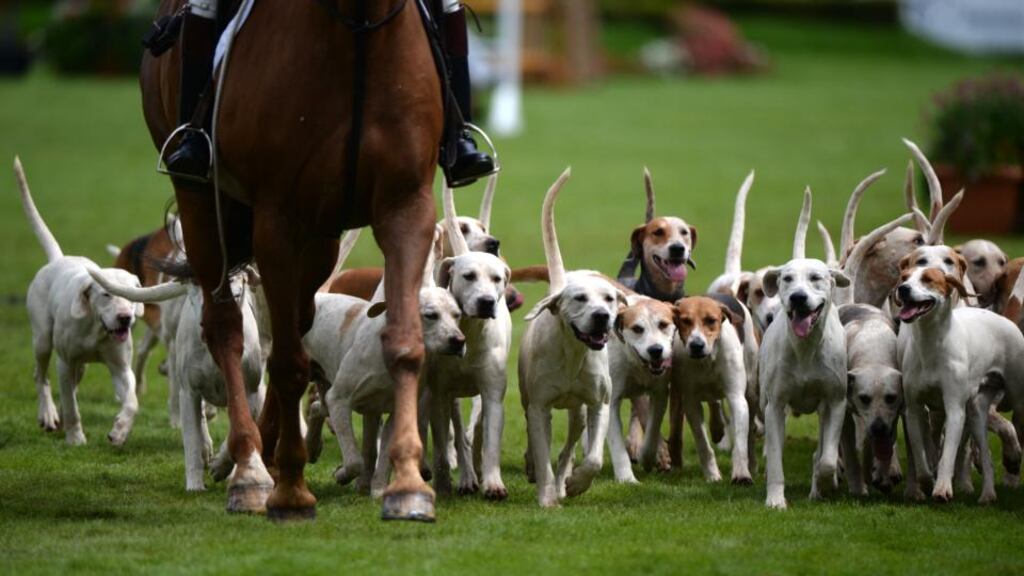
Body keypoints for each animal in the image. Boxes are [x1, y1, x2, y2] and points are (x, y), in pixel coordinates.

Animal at [140, 0, 442, 521]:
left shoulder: (406, 205)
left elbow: (404, 345)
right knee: (225, 326)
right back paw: (250, 468)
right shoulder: (277, 219)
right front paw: (290, 491)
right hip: (201, 201)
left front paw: (406, 485)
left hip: (320, 237)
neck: (357, 32)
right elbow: (284, 364)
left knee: (298, 318)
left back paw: (266, 451)